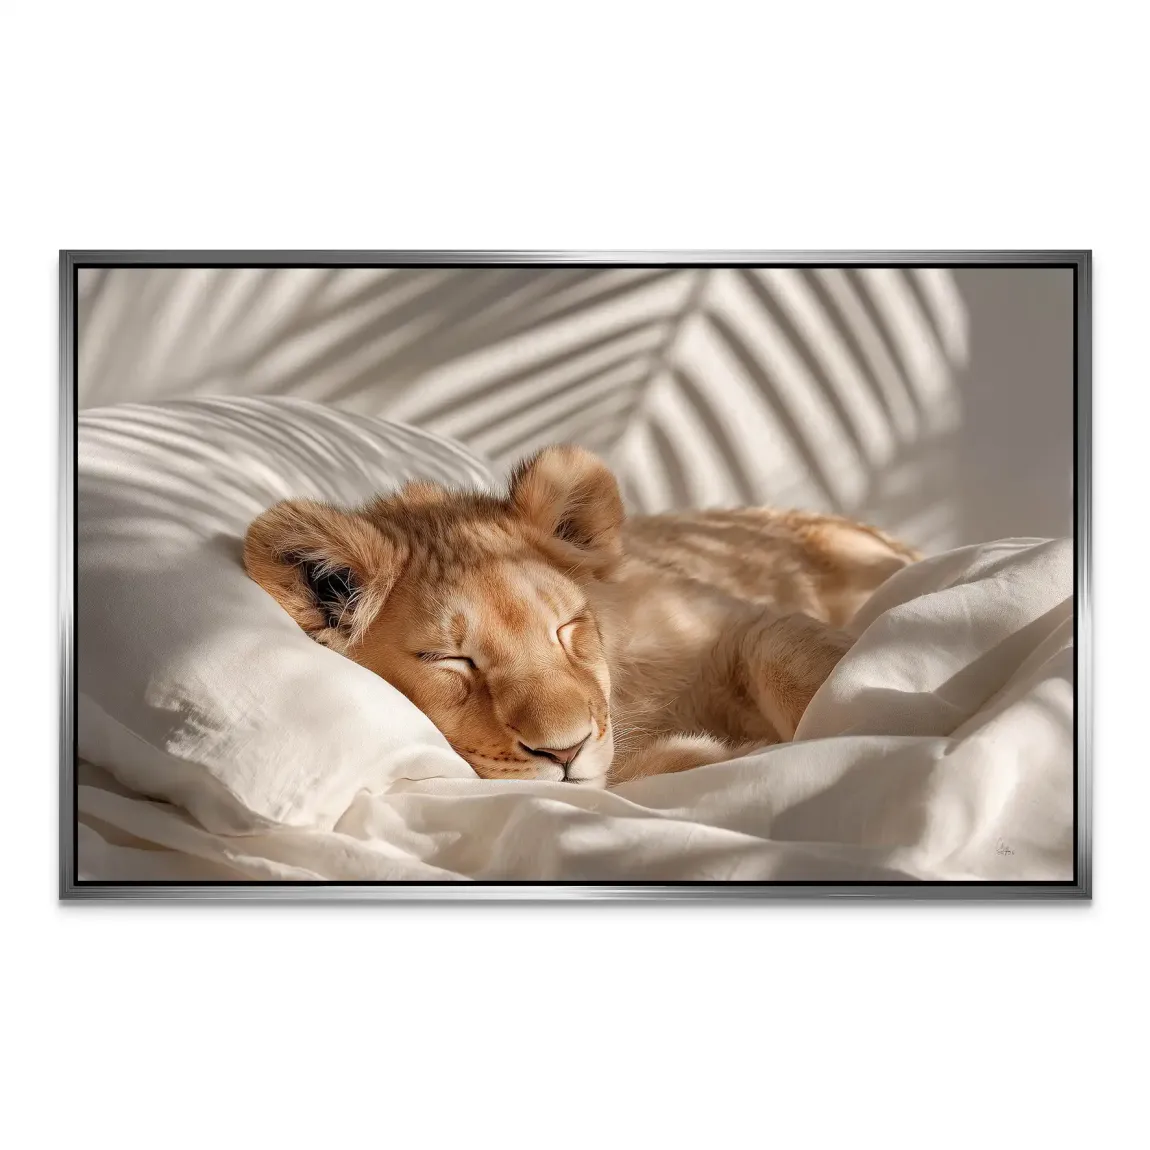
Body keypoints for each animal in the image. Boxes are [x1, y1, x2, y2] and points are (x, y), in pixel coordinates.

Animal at [243, 445, 920, 787]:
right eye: (450, 660)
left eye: (565, 629)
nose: (563, 752)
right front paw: (723, 754)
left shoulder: (728, 621)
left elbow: (792, 655)